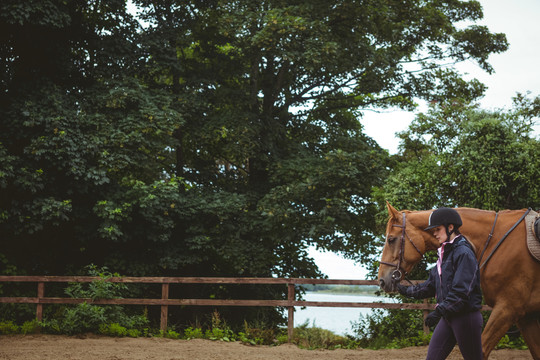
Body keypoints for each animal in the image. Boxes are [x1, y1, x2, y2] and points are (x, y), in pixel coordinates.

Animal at [378, 204, 540, 358]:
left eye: (391, 239)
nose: (381, 281)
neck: (495, 239)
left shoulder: (507, 308)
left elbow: (482, 350)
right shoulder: (526, 317)